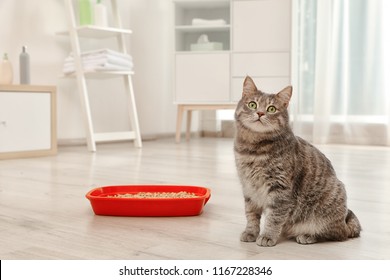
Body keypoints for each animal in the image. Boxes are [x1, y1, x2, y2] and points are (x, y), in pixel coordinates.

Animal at [233, 75, 362, 246]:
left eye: (271, 109)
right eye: (252, 104)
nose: (260, 113)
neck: (253, 149)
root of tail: (345, 220)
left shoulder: (280, 188)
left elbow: (274, 217)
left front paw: (267, 236)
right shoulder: (248, 188)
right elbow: (251, 215)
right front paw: (250, 232)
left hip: (327, 209)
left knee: (338, 234)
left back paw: (307, 235)